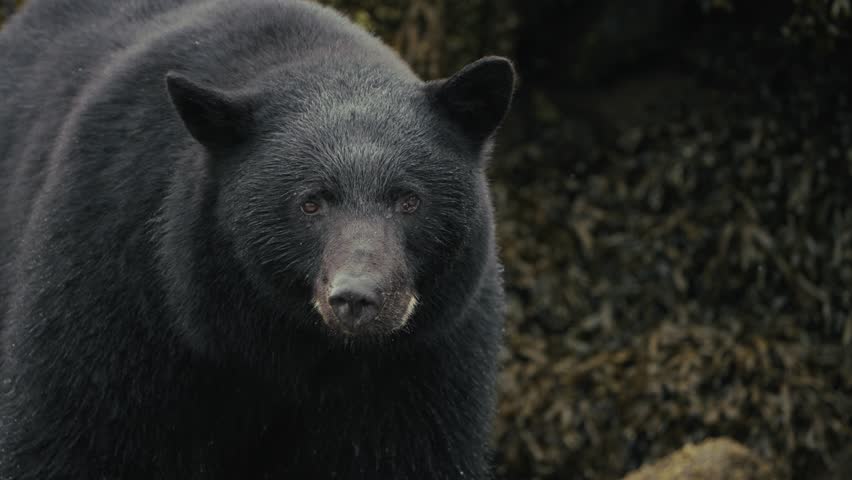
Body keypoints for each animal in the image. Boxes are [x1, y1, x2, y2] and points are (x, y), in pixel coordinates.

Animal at [0, 0, 515, 479]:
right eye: (311, 202)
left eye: (409, 200)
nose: (357, 298)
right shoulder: (114, 275)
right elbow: (73, 432)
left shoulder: (426, 359)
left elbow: (407, 452)